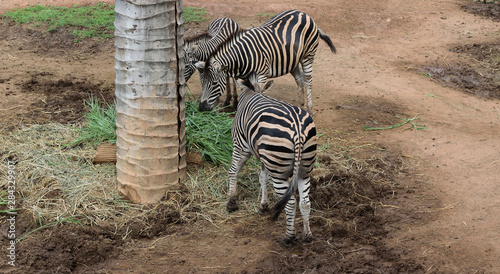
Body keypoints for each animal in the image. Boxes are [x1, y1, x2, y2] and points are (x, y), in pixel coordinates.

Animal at [195, 9, 336, 114]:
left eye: (214, 83)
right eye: (202, 82)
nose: (201, 108)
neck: (242, 57)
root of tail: (304, 14)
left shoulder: (261, 76)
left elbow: (258, 94)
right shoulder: (245, 78)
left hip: (308, 55)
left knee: (308, 80)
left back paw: (309, 109)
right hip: (292, 59)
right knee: (300, 78)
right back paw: (300, 105)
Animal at [229, 74, 318, 244]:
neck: (251, 92)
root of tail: (297, 130)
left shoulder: (241, 146)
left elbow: (233, 171)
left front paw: (231, 202)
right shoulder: (265, 157)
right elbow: (263, 177)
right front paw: (263, 206)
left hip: (279, 172)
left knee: (290, 202)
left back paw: (289, 237)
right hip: (303, 169)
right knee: (305, 202)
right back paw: (308, 235)